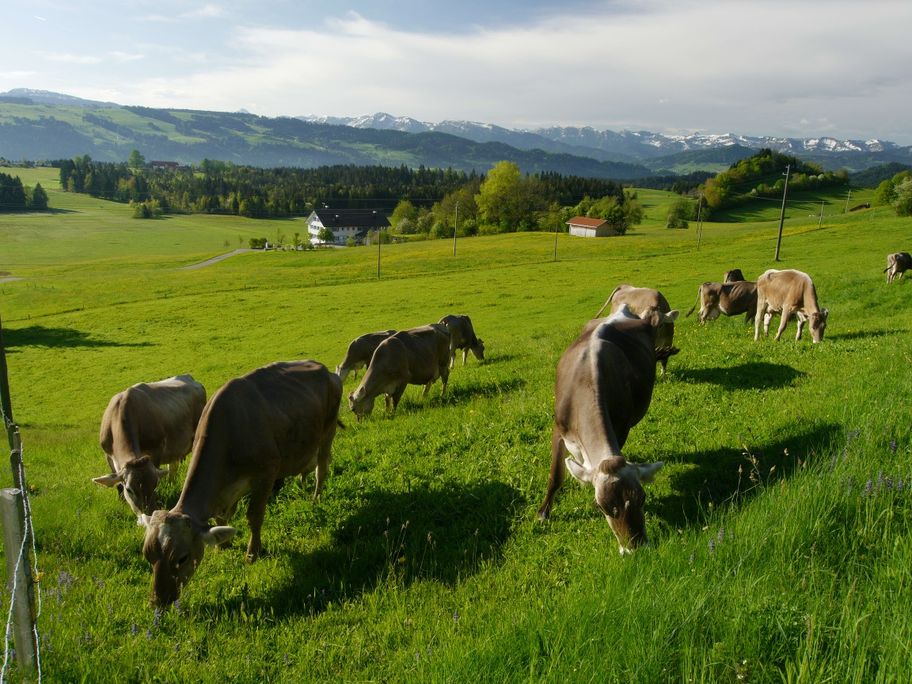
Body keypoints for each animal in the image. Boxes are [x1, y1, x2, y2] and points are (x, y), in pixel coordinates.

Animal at [93, 375, 206, 518]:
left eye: (155, 484)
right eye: (129, 490)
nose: (149, 513)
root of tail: (189, 377)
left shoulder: (156, 449)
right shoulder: (108, 455)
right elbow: (117, 483)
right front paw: (122, 503)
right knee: (173, 466)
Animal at [140, 361, 342, 606]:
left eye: (182, 558)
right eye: (148, 556)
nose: (157, 601)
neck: (230, 431)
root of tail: (324, 369)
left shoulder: (266, 473)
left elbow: (254, 517)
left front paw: (252, 553)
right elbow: (220, 518)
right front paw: (223, 546)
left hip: (328, 431)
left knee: (321, 468)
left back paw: (316, 498)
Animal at [537, 305, 671, 555]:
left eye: (643, 498)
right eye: (603, 507)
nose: (635, 549)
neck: (586, 380)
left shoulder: (622, 428)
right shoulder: (558, 429)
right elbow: (555, 476)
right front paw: (543, 513)